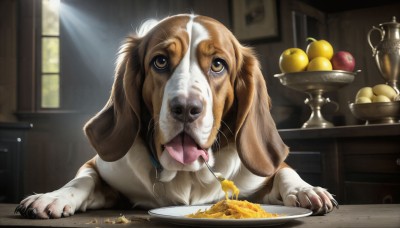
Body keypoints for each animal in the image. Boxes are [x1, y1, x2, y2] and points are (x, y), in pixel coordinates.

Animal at [17, 14, 340, 219]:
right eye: (160, 61)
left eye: (218, 65)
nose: (186, 108)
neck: (186, 175)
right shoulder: (102, 168)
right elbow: (81, 180)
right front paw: (53, 197)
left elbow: (284, 171)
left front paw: (306, 190)